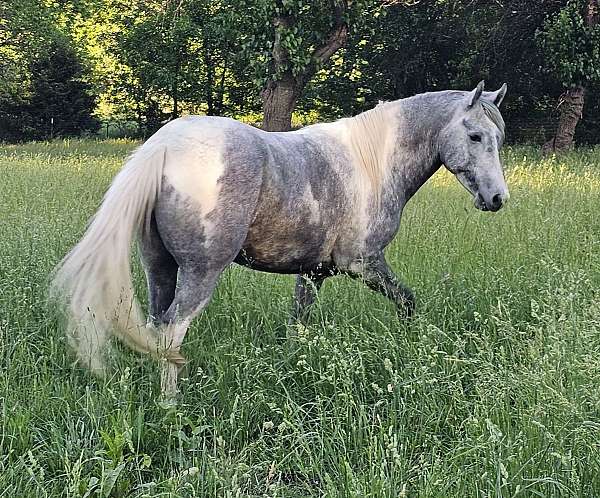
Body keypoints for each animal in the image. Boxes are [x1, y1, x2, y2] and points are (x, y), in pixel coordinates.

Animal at [51, 80, 508, 396]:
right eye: (475, 136)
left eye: (498, 139)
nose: (498, 198)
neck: (371, 162)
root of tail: (164, 146)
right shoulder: (365, 263)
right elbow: (408, 301)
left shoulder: (313, 272)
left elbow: (297, 326)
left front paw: (293, 365)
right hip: (200, 274)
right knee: (170, 331)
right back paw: (169, 405)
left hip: (159, 268)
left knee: (154, 323)